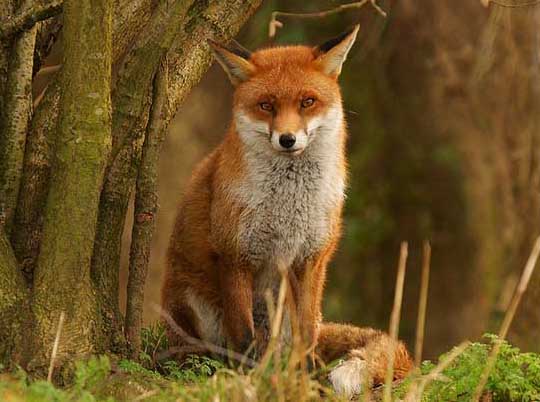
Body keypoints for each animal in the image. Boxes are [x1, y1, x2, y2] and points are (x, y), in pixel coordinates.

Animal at [162, 26, 412, 398]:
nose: (287, 139)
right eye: (266, 105)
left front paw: (305, 383)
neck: (289, 204)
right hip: (194, 305)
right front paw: (246, 381)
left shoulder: (310, 259)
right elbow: (243, 338)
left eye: (307, 102)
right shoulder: (235, 256)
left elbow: (306, 338)